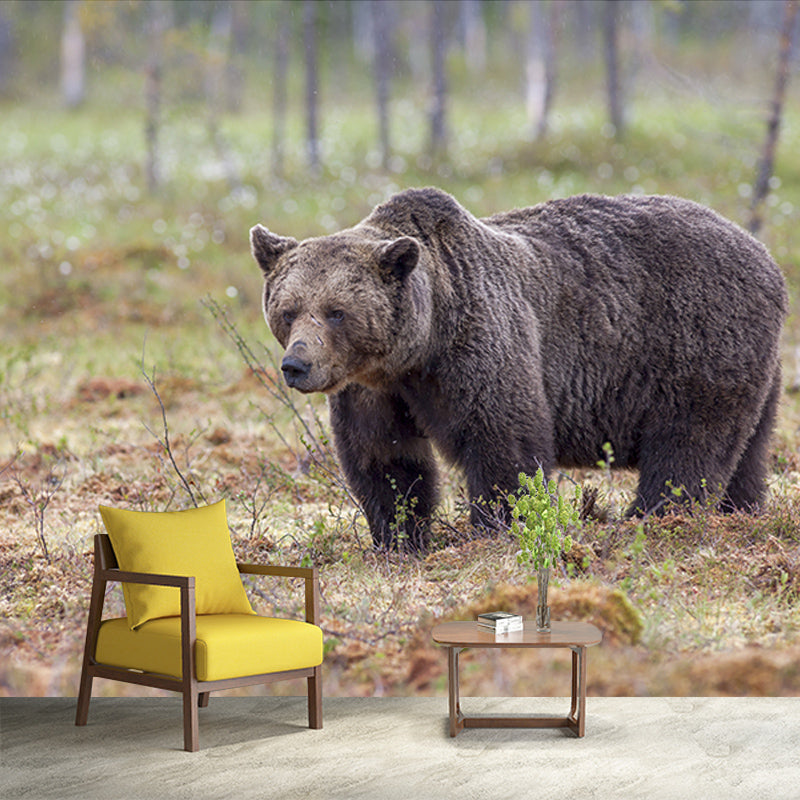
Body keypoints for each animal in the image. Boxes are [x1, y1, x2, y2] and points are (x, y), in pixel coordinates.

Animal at [250, 187, 787, 551]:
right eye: (288, 309)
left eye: (336, 311)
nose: (297, 364)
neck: (417, 349)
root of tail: (765, 254)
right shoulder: (373, 389)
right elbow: (385, 459)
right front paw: (400, 535)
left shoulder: (480, 343)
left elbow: (504, 442)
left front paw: (500, 525)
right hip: (762, 372)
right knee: (749, 449)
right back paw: (741, 511)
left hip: (697, 342)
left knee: (688, 443)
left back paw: (652, 517)